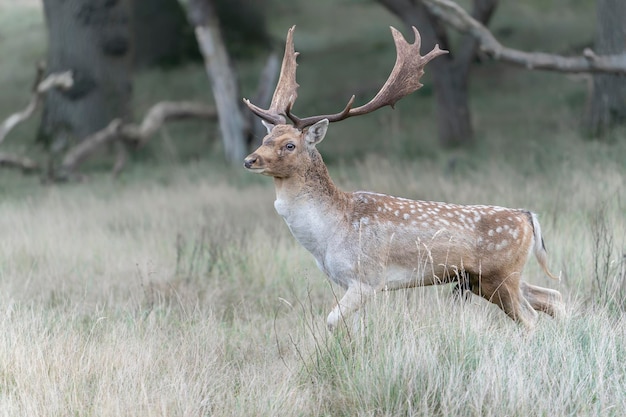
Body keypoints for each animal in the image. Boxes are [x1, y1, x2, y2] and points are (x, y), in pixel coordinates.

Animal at [241, 26, 564, 332]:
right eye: (265, 138)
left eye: (289, 145)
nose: (249, 160)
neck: (329, 232)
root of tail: (528, 217)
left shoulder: (368, 277)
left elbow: (331, 321)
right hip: (485, 279)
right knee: (554, 297)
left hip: (499, 274)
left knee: (531, 317)